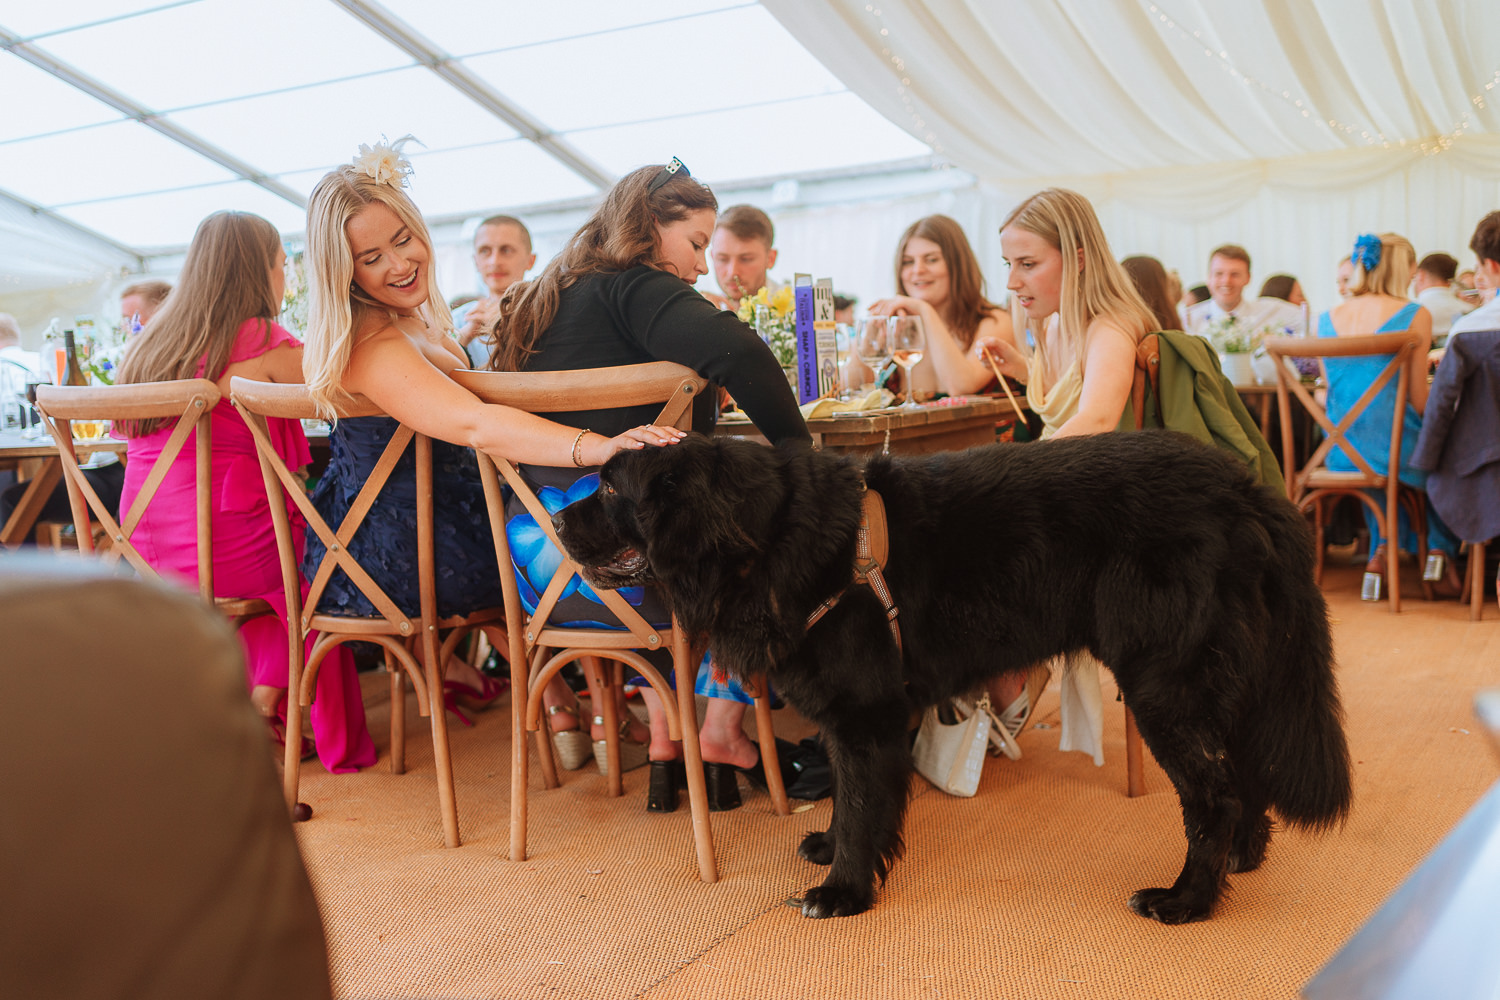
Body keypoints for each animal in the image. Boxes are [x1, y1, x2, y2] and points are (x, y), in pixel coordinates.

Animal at [558, 431, 1356, 923]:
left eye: (610, 488)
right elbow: (852, 796)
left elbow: (861, 803)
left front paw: (843, 890)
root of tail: (1244, 487)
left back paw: (1187, 899)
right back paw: (1239, 862)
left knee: (1213, 795)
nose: (559, 524)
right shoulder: (861, 716)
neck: (770, 536)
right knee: (1240, 778)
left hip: (1167, 687)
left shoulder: (866, 714)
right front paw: (837, 852)